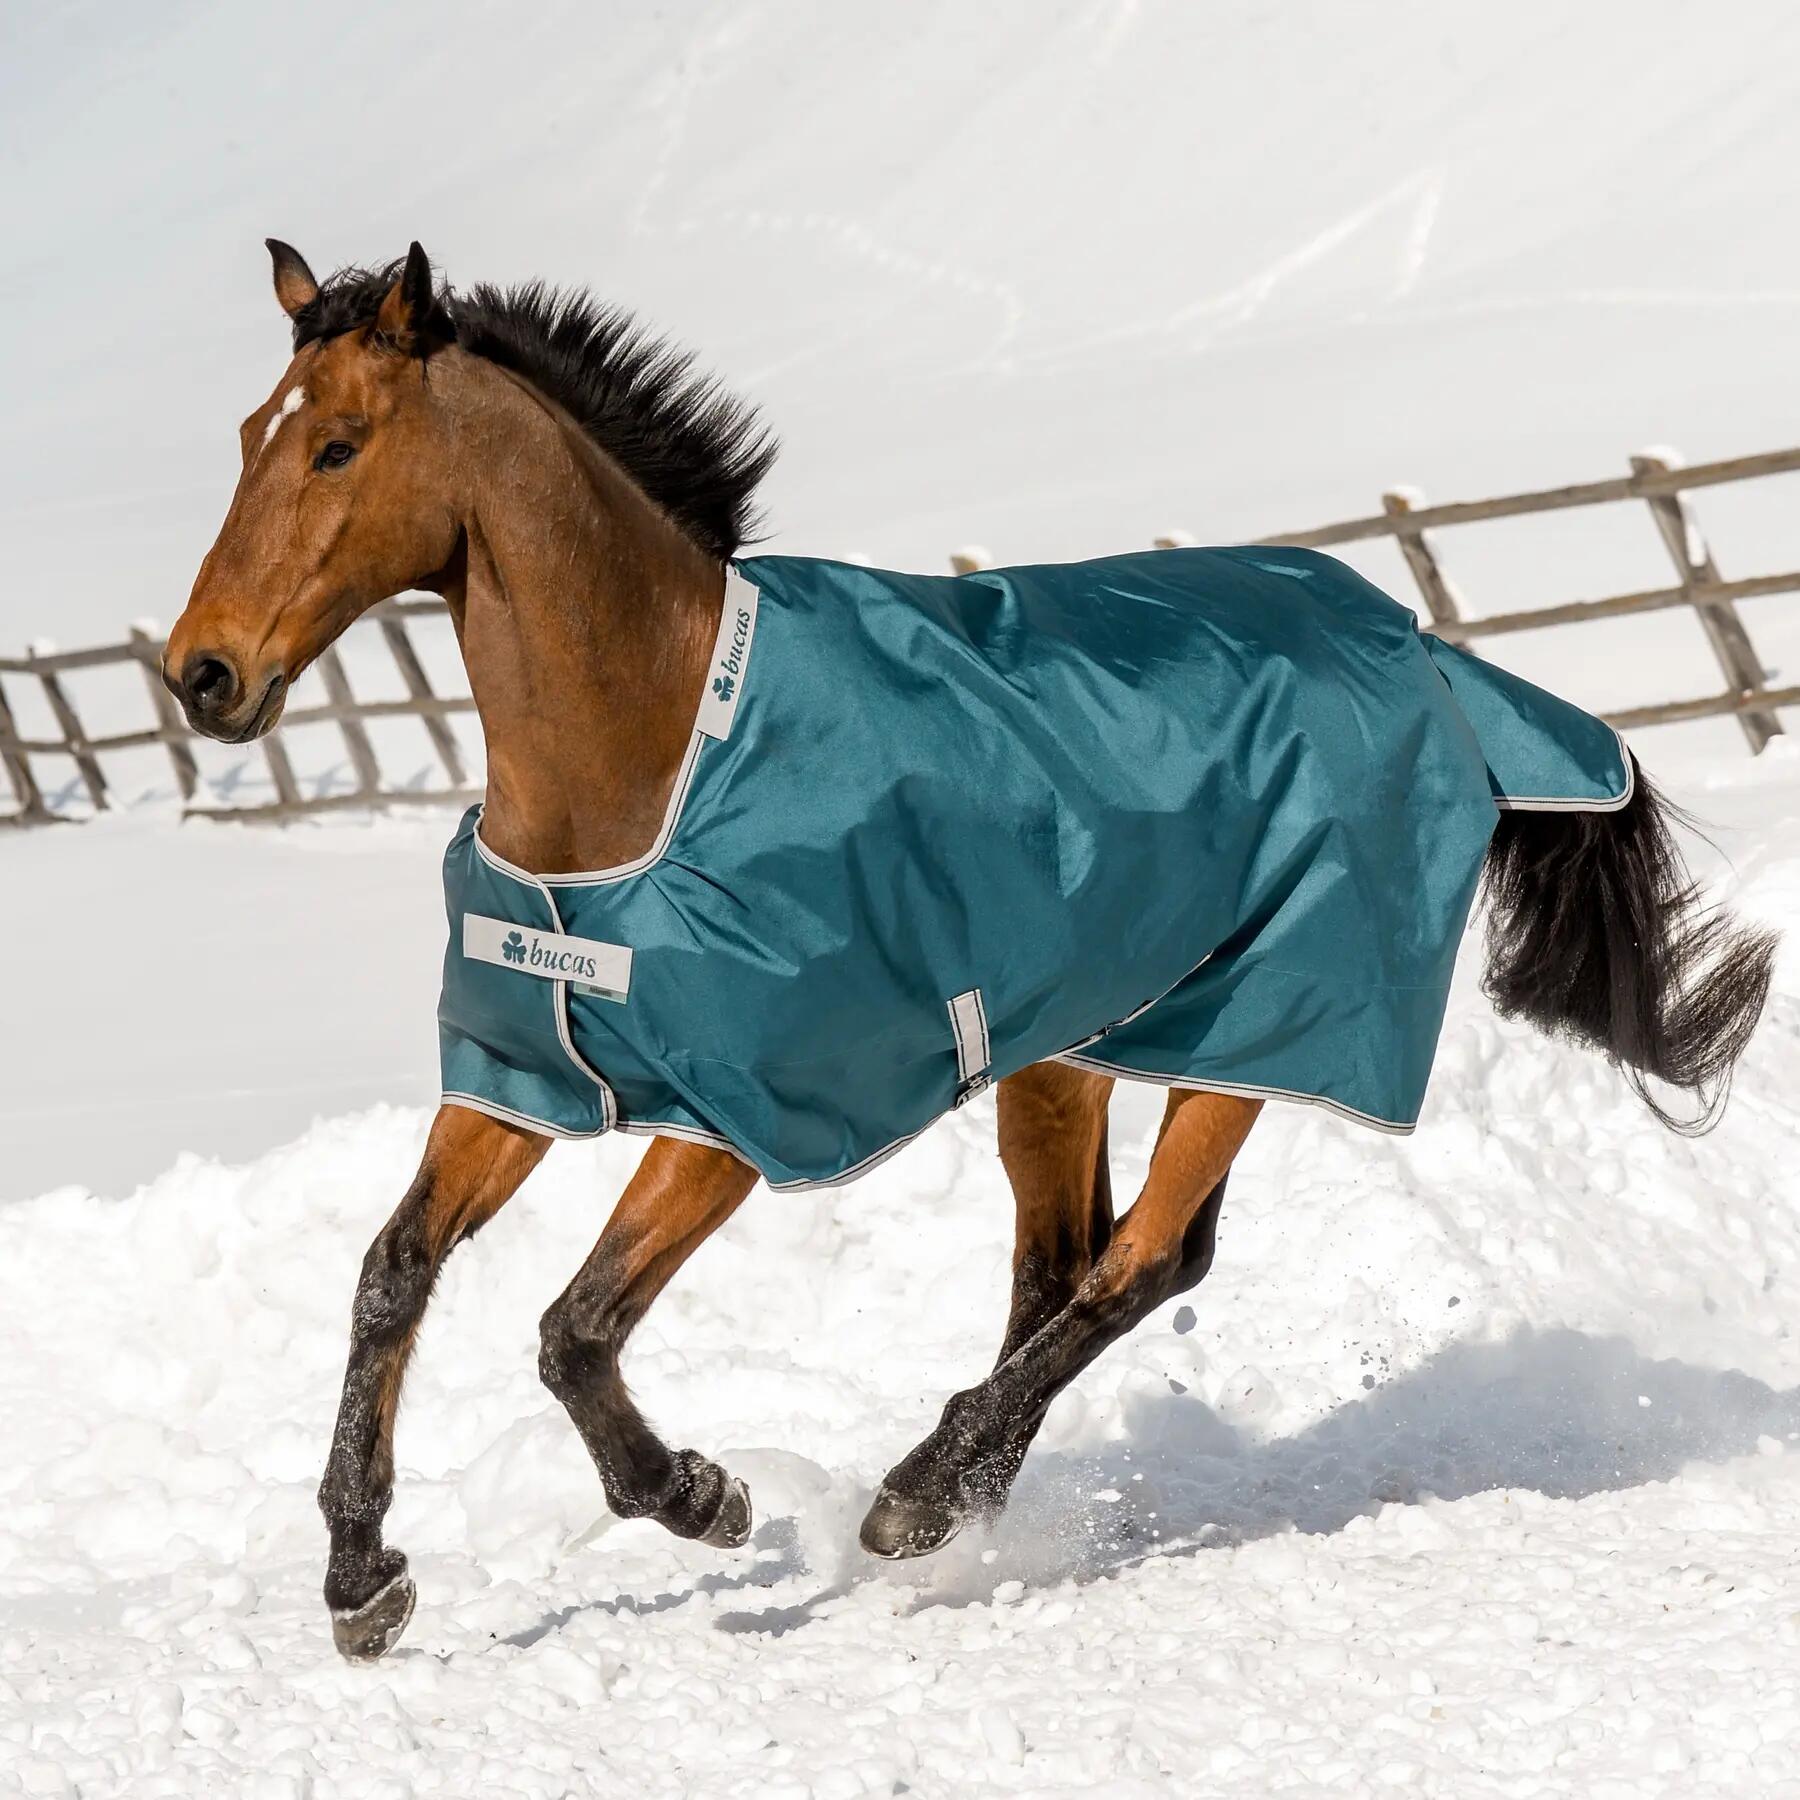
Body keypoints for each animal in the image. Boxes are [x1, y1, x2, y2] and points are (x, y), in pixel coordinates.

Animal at [165, 240, 1776, 1661]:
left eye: (339, 448)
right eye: (249, 436)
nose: (203, 676)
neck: (651, 758)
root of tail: (1434, 655)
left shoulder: (745, 1115)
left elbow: (574, 1327)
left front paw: (699, 1495)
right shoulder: (526, 1075)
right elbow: (392, 1274)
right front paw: (361, 1579)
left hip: (1266, 1026)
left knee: (1143, 1262)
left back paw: (919, 1496)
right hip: (1064, 1051)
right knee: (1063, 1265)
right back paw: (968, 1486)